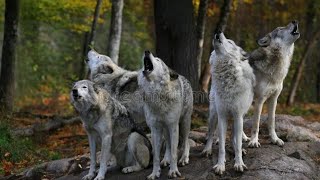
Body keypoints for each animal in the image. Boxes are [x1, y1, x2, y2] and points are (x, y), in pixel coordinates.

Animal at [138, 50, 192, 179]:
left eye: (158, 60)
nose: (147, 51)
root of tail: (183, 77)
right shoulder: (155, 129)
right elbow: (157, 156)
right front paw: (154, 173)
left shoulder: (173, 126)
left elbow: (174, 153)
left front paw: (173, 171)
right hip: (164, 129)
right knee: (168, 144)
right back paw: (165, 160)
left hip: (184, 123)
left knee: (186, 141)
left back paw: (184, 159)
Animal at [210, 31, 255, 174]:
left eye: (230, 42)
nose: (218, 31)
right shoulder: (222, 116)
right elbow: (221, 147)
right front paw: (220, 165)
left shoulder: (238, 116)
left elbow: (238, 144)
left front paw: (239, 163)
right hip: (213, 114)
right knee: (211, 134)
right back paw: (207, 149)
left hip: (239, 117)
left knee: (235, 136)